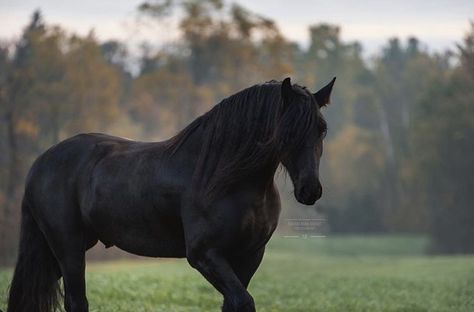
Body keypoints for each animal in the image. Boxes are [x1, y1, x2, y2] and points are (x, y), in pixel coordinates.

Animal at [6, 77, 334, 310]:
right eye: (287, 130)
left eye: (322, 128)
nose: (310, 190)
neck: (226, 178)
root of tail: (41, 162)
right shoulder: (205, 255)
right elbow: (243, 302)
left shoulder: (249, 255)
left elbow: (234, 303)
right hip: (69, 248)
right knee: (77, 301)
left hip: (61, 250)